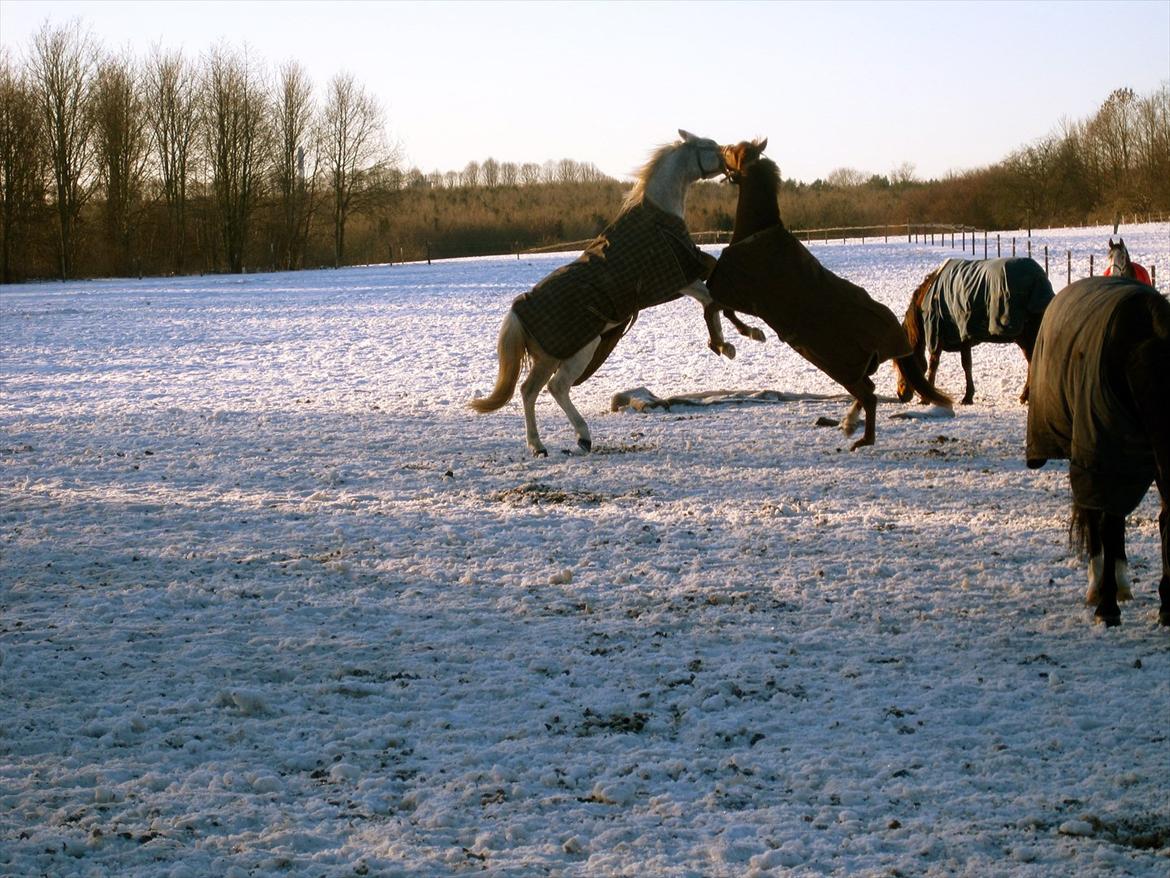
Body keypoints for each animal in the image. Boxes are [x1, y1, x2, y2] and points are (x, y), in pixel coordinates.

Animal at [467, 133, 730, 461]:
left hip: (550, 358)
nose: (731, 157)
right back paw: (579, 437)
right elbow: (712, 300)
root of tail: (518, 312)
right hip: (577, 351)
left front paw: (725, 343)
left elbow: (712, 301)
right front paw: (730, 343)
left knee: (530, 391)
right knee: (554, 388)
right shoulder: (683, 281)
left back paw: (539, 445)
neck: (657, 218)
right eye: (709, 145)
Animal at [702, 141, 950, 454]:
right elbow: (723, 312)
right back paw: (850, 425)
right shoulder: (743, 299)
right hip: (848, 366)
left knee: (869, 395)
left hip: (841, 365)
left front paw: (723, 344)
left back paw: (860, 437)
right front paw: (744, 336)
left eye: (734, 150)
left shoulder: (738, 294)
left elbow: (713, 309)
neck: (757, 232)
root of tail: (894, 329)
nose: (718, 149)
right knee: (868, 392)